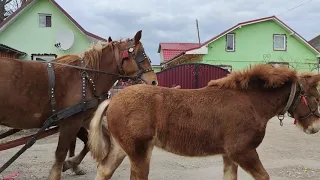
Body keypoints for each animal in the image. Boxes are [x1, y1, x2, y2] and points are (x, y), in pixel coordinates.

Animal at [0, 30, 157, 179]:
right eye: (141, 55)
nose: (154, 81)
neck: (87, 78)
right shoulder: (71, 121)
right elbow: (61, 154)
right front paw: (66, 166)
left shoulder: (86, 118)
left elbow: (96, 141)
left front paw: (75, 164)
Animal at [89, 64, 320, 180]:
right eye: (317, 98)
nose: (315, 127)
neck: (251, 102)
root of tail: (112, 99)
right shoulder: (243, 151)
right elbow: (264, 177)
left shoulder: (229, 155)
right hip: (139, 153)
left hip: (121, 149)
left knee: (103, 171)